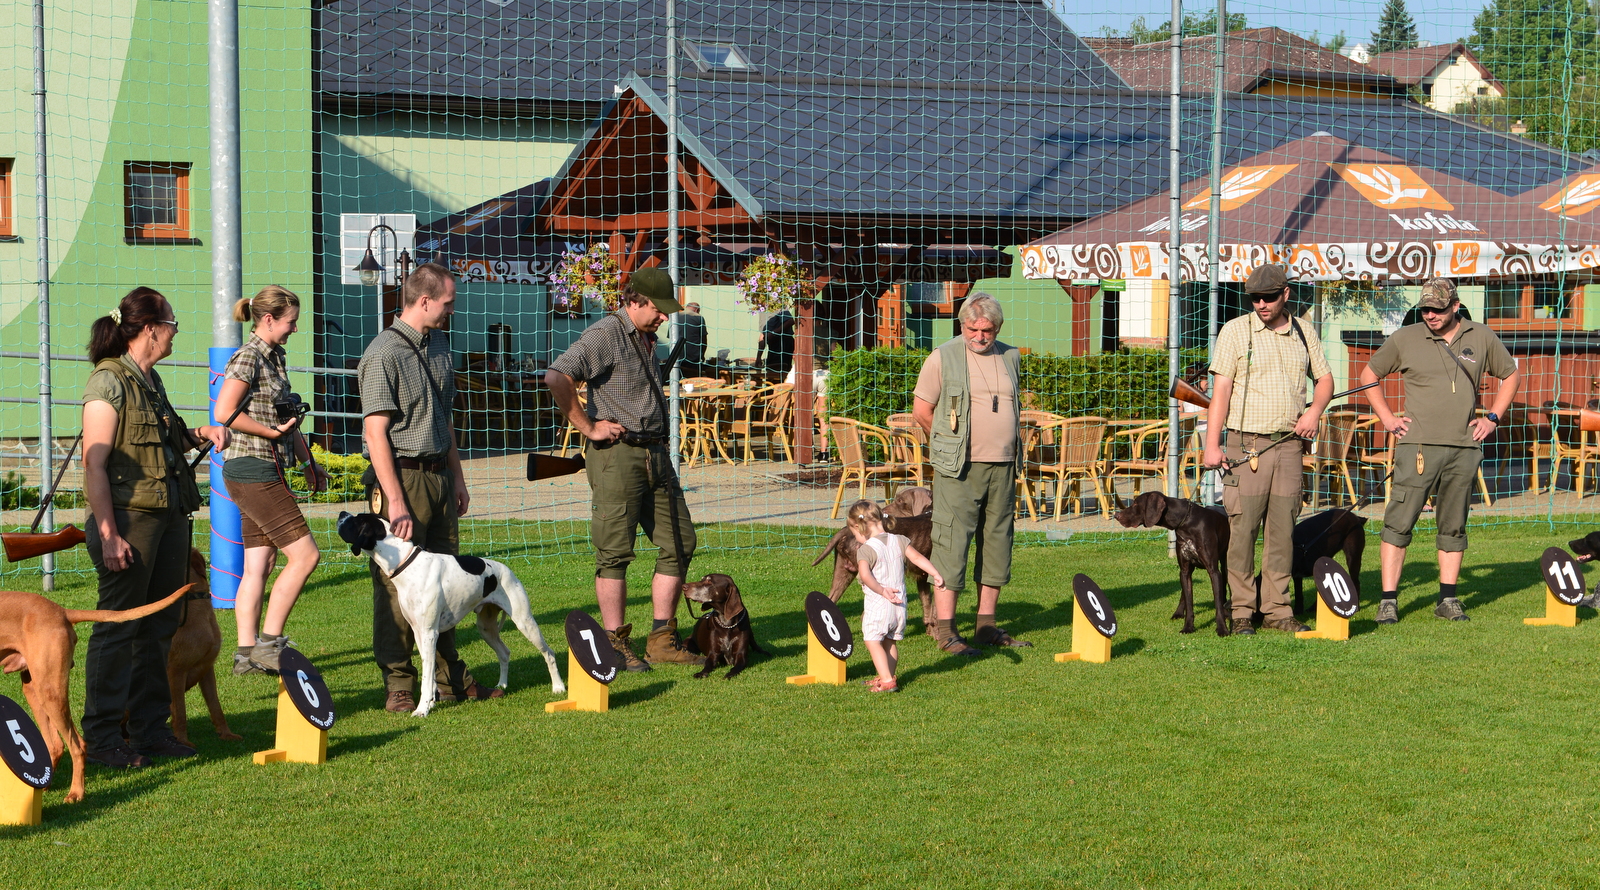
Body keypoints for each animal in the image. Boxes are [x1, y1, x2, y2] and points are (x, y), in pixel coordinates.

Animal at [0, 583, 194, 803]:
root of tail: (61, 611)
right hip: (35, 688)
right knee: (55, 744)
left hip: (49, 692)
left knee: (77, 746)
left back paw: (76, 793)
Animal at [335, 512, 566, 716]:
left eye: (356, 520)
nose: (341, 513)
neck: (405, 564)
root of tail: (506, 569)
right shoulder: (420, 633)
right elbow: (430, 674)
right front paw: (430, 703)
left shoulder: (429, 633)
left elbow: (427, 676)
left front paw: (422, 709)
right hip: (486, 629)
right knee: (504, 653)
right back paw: (502, 684)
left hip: (524, 621)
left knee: (549, 653)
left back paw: (558, 687)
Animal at [812, 487, 935, 634]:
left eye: (900, 501)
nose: (883, 512)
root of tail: (847, 530)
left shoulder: (922, 578)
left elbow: (928, 607)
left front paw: (931, 633)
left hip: (843, 572)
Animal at [1114, 491, 1231, 636]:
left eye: (1136, 504)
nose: (1116, 515)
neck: (1186, 523)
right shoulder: (1185, 570)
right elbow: (1189, 603)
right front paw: (1188, 627)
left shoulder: (1213, 571)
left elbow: (1218, 602)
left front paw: (1222, 628)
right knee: (1184, 594)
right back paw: (1179, 612)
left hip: (1225, 565)